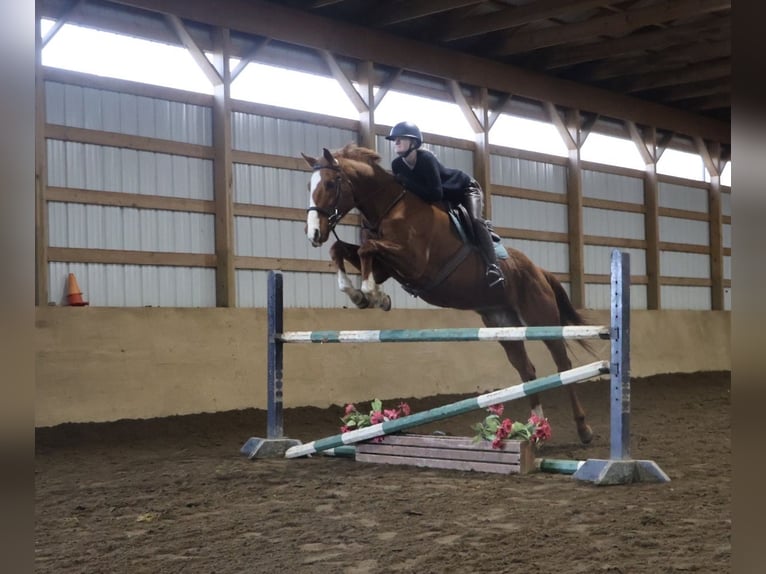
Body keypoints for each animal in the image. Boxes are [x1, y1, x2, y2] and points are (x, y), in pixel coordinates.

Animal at [301, 143, 594, 444]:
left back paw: (583, 430)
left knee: (563, 365)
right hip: (502, 324)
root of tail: (539, 270)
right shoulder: (387, 266)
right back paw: (536, 429)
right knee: (527, 369)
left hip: (541, 319)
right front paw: (363, 295)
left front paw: (372, 294)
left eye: (330, 183)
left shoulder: (416, 264)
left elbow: (366, 248)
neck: (390, 208)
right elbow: (344, 249)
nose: (314, 233)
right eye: (310, 185)